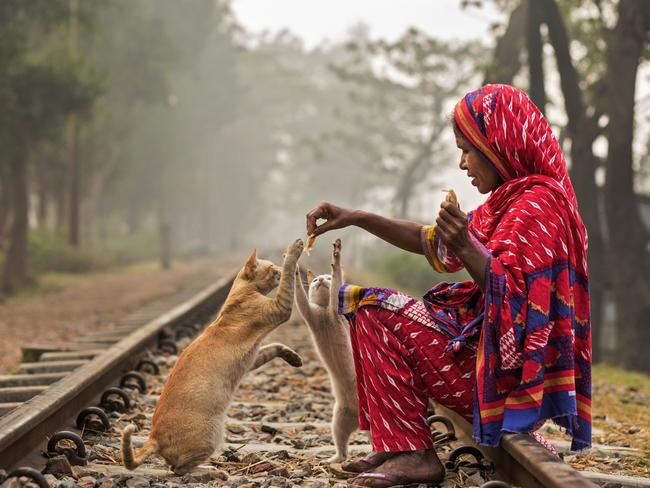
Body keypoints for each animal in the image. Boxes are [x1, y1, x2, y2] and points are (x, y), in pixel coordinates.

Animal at [122, 238, 304, 474]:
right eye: (273, 268)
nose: (279, 270)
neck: (240, 293)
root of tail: (153, 437)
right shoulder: (279, 308)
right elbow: (288, 282)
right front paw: (294, 251)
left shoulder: (253, 359)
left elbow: (275, 346)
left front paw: (294, 358)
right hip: (211, 436)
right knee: (179, 469)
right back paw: (211, 470)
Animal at [294, 238, 360, 464]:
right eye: (315, 280)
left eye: (327, 278)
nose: (321, 279)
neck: (324, 311)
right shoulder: (310, 314)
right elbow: (301, 300)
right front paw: (294, 268)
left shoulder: (336, 305)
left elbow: (338, 283)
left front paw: (336, 256)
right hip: (338, 418)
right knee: (342, 444)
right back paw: (333, 459)